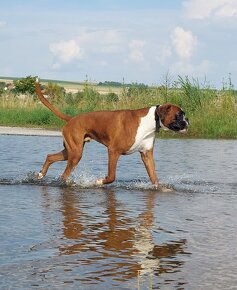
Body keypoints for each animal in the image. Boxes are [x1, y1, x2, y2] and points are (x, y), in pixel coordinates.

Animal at [34, 79, 189, 188]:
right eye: (178, 115)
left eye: (183, 115)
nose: (187, 121)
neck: (151, 120)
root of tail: (72, 118)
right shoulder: (113, 151)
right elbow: (111, 176)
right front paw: (98, 182)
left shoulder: (147, 155)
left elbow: (154, 178)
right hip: (76, 154)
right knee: (64, 175)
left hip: (70, 151)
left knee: (50, 157)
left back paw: (41, 174)